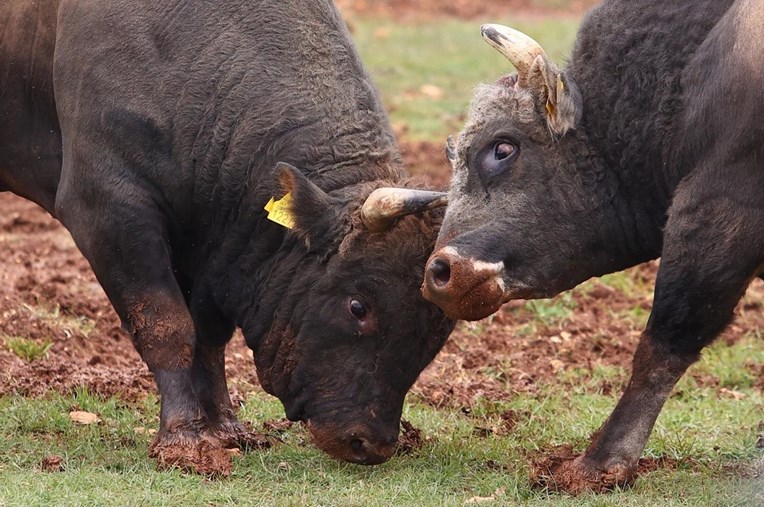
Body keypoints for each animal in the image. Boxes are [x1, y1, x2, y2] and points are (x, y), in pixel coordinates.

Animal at [0, 0, 454, 476]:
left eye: (437, 329)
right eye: (358, 306)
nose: (371, 442)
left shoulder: (205, 245)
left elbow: (209, 336)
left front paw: (223, 427)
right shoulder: (107, 209)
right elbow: (167, 325)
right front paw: (184, 437)